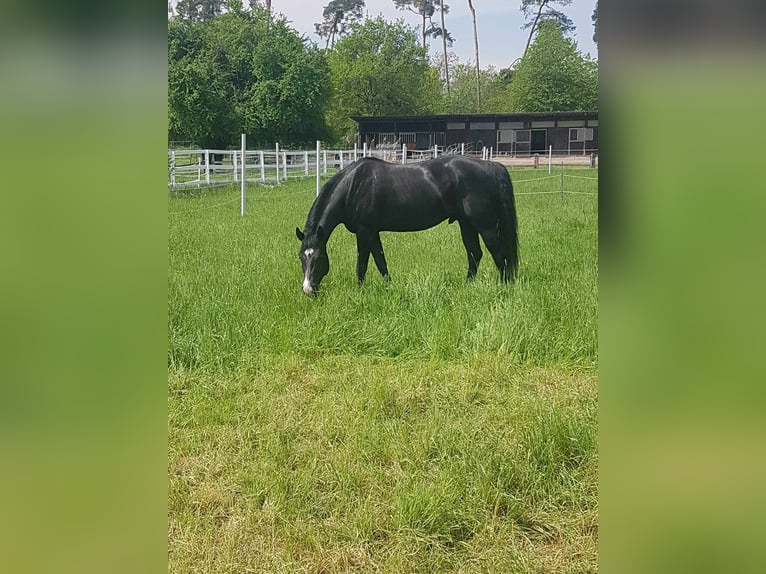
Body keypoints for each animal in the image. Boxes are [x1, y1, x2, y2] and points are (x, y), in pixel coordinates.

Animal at [296, 156, 520, 296]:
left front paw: (359, 293)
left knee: (498, 254)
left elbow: (362, 265)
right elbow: (381, 262)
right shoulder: (373, 232)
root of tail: (491, 167)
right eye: (301, 257)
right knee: (475, 254)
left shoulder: (364, 231)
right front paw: (389, 287)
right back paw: (468, 286)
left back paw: (505, 287)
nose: (308, 290)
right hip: (467, 224)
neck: (354, 186)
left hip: (485, 225)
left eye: (318, 258)